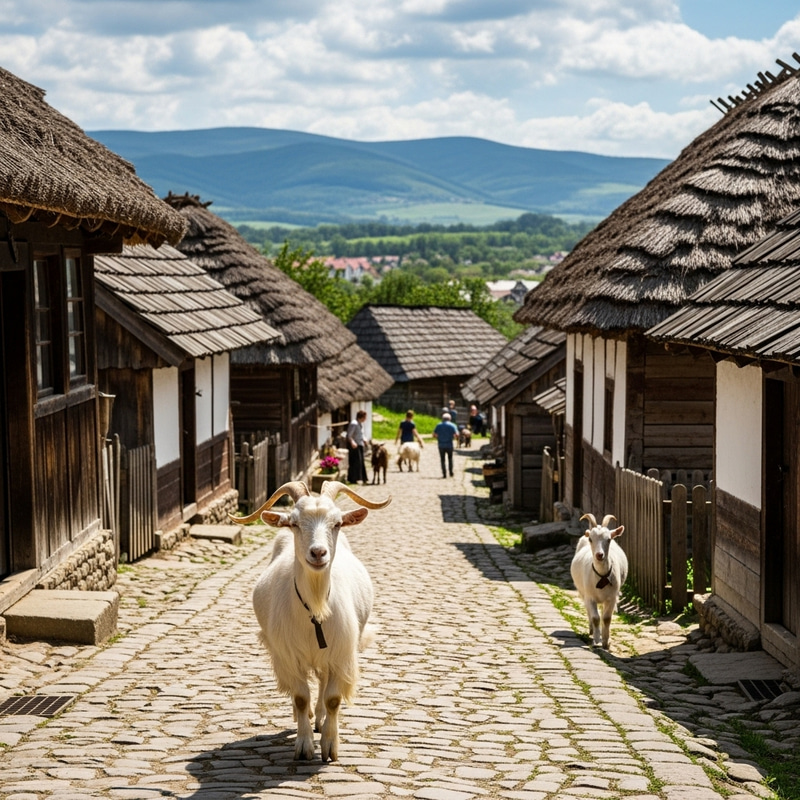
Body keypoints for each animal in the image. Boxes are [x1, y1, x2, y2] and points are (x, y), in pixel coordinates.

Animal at [231, 480, 391, 761]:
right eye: (294, 523)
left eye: (337, 523)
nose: (318, 553)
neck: (315, 609)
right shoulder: (288, 656)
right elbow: (300, 697)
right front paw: (304, 745)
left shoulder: (340, 653)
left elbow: (333, 698)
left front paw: (329, 746)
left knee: (324, 684)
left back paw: (320, 719)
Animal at [570, 512, 628, 650]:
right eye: (591, 539)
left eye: (609, 539)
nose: (599, 555)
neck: (601, 576)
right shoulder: (590, 597)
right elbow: (596, 617)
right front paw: (596, 641)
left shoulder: (612, 598)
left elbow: (606, 618)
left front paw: (606, 642)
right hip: (582, 592)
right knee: (588, 610)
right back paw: (592, 630)